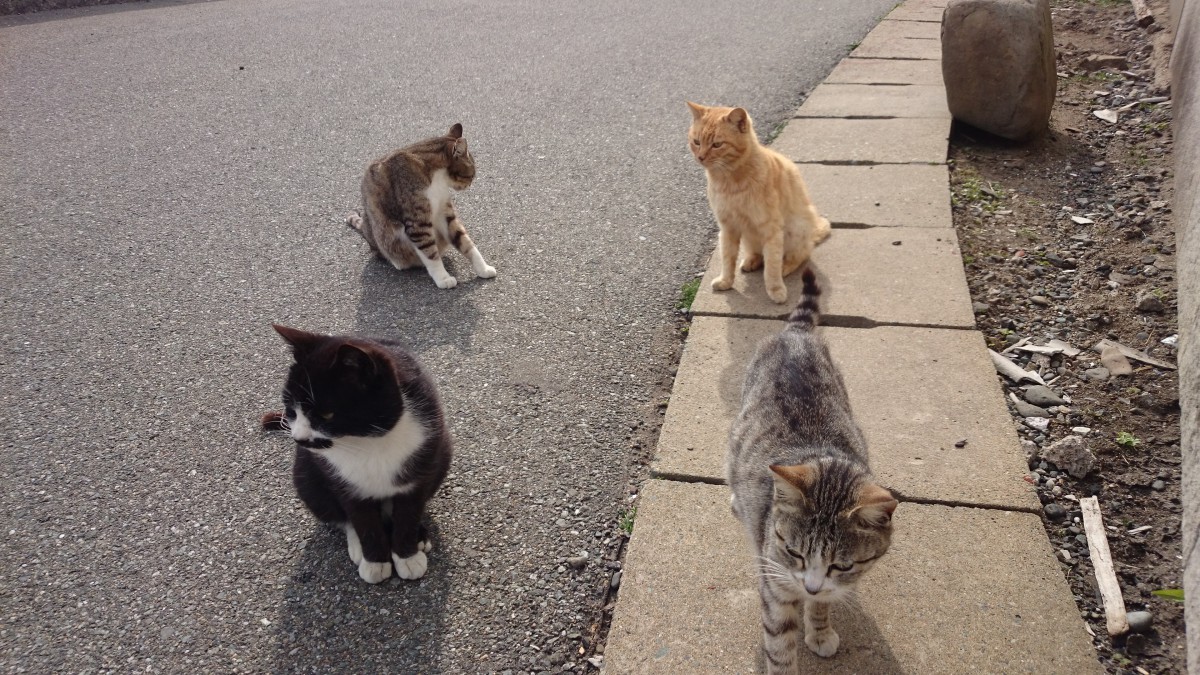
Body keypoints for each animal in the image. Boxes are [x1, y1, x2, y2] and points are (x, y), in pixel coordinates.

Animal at [262, 324, 451, 581]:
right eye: (291, 410)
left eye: (327, 415)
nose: (298, 439)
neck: (367, 441)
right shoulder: (345, 483)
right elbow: (362, 520)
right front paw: (375, 561)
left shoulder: (422, 463)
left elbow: (408, 513)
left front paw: (407, 555)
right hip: (305, 475)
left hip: (444, 453)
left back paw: (419, 536)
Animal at [348, 124, 496, 288]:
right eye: (471, 175)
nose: (470, 184)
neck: (437, 178)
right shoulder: (418, 223)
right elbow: (430, 253)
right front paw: (443, 278)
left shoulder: (444, 213)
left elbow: (465, 241)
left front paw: (483, 268)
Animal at [691, 102, 830, 302]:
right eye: (696, 142)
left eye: (717, 144)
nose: (700, 157)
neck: (730, 182)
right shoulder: (727, 228)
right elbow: (727, 259)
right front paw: (726, 281)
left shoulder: (771, 230)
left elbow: (771, 266)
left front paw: (775, 289)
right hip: (749, 235)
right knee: (757, 253)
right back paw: (751, 261)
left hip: (797, 229)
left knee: (800, 255)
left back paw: (785, 266)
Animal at [724, 269, 897, 667]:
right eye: (794, 552)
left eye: (842, 566)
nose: (810, 586)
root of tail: (796, 334)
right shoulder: (775, 584)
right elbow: (780, 647)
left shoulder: (831, 585)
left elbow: (821, 607)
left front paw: (819, 630)